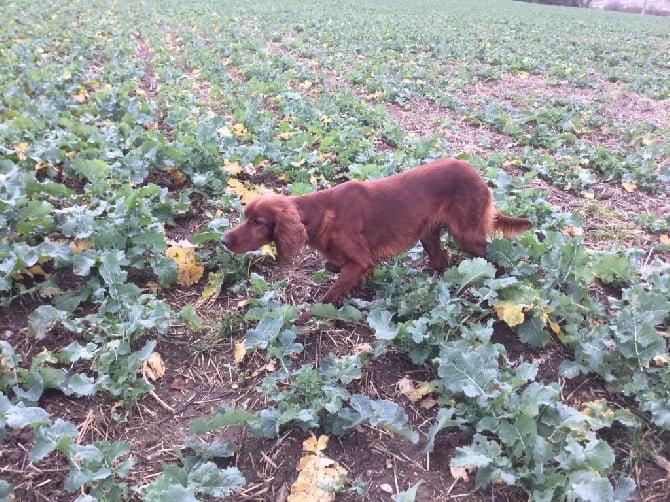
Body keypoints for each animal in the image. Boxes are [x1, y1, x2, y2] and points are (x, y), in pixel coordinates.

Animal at [223, 159, 532, 304]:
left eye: (258, 222)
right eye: (245, 216)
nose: (224, 240)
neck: (320, 213)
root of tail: (478, 174)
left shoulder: (361, 260)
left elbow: (330, 294)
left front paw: (310, 318)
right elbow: (333, 265)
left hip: (466, 235)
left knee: (492, 257)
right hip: (428, 234)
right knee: (441, 260)